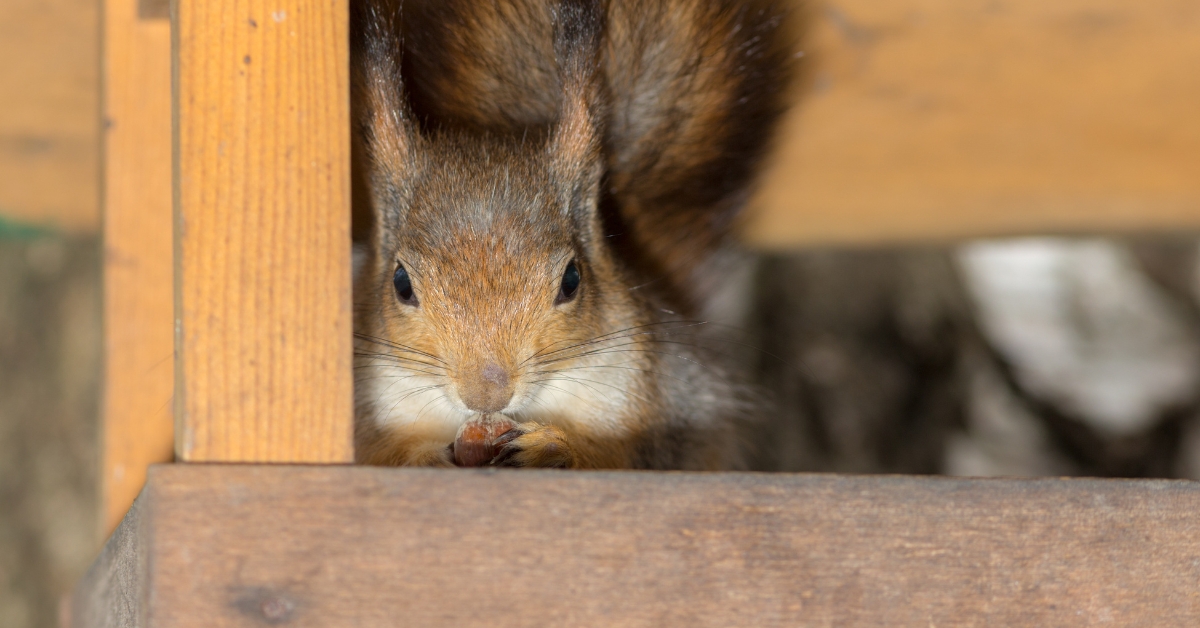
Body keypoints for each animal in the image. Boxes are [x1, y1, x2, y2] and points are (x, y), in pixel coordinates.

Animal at [351, 0, 797, 469]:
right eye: (401, 284)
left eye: (571, 280)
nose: (487, 395)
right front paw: (427, 454)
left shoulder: (667, 400)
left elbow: (622, 456)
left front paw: (551, 444)